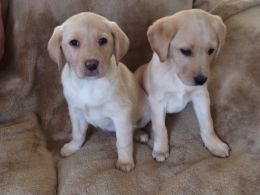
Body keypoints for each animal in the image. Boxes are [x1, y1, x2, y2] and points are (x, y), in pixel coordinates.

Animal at [48, 12, 149, 171]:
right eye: (74, 42)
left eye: (103, 41)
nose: (91, 65)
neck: (89, 84)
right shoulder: (76, 112)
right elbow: (78, 134)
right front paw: (72, 147)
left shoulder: (122, 113)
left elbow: (123, 141)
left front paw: (125, 161)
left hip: (144, 113)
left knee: (135, 127)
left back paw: (140, 134)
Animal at [135, 9, 231, 161]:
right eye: (185, 51)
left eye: (211, 50)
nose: (201, 80)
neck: (176, 75)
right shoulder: (157, 101)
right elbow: (160, 128)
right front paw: (161, 149)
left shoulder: (201, 96)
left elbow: (207, 123)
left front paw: (214, 144)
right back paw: (140, 134)